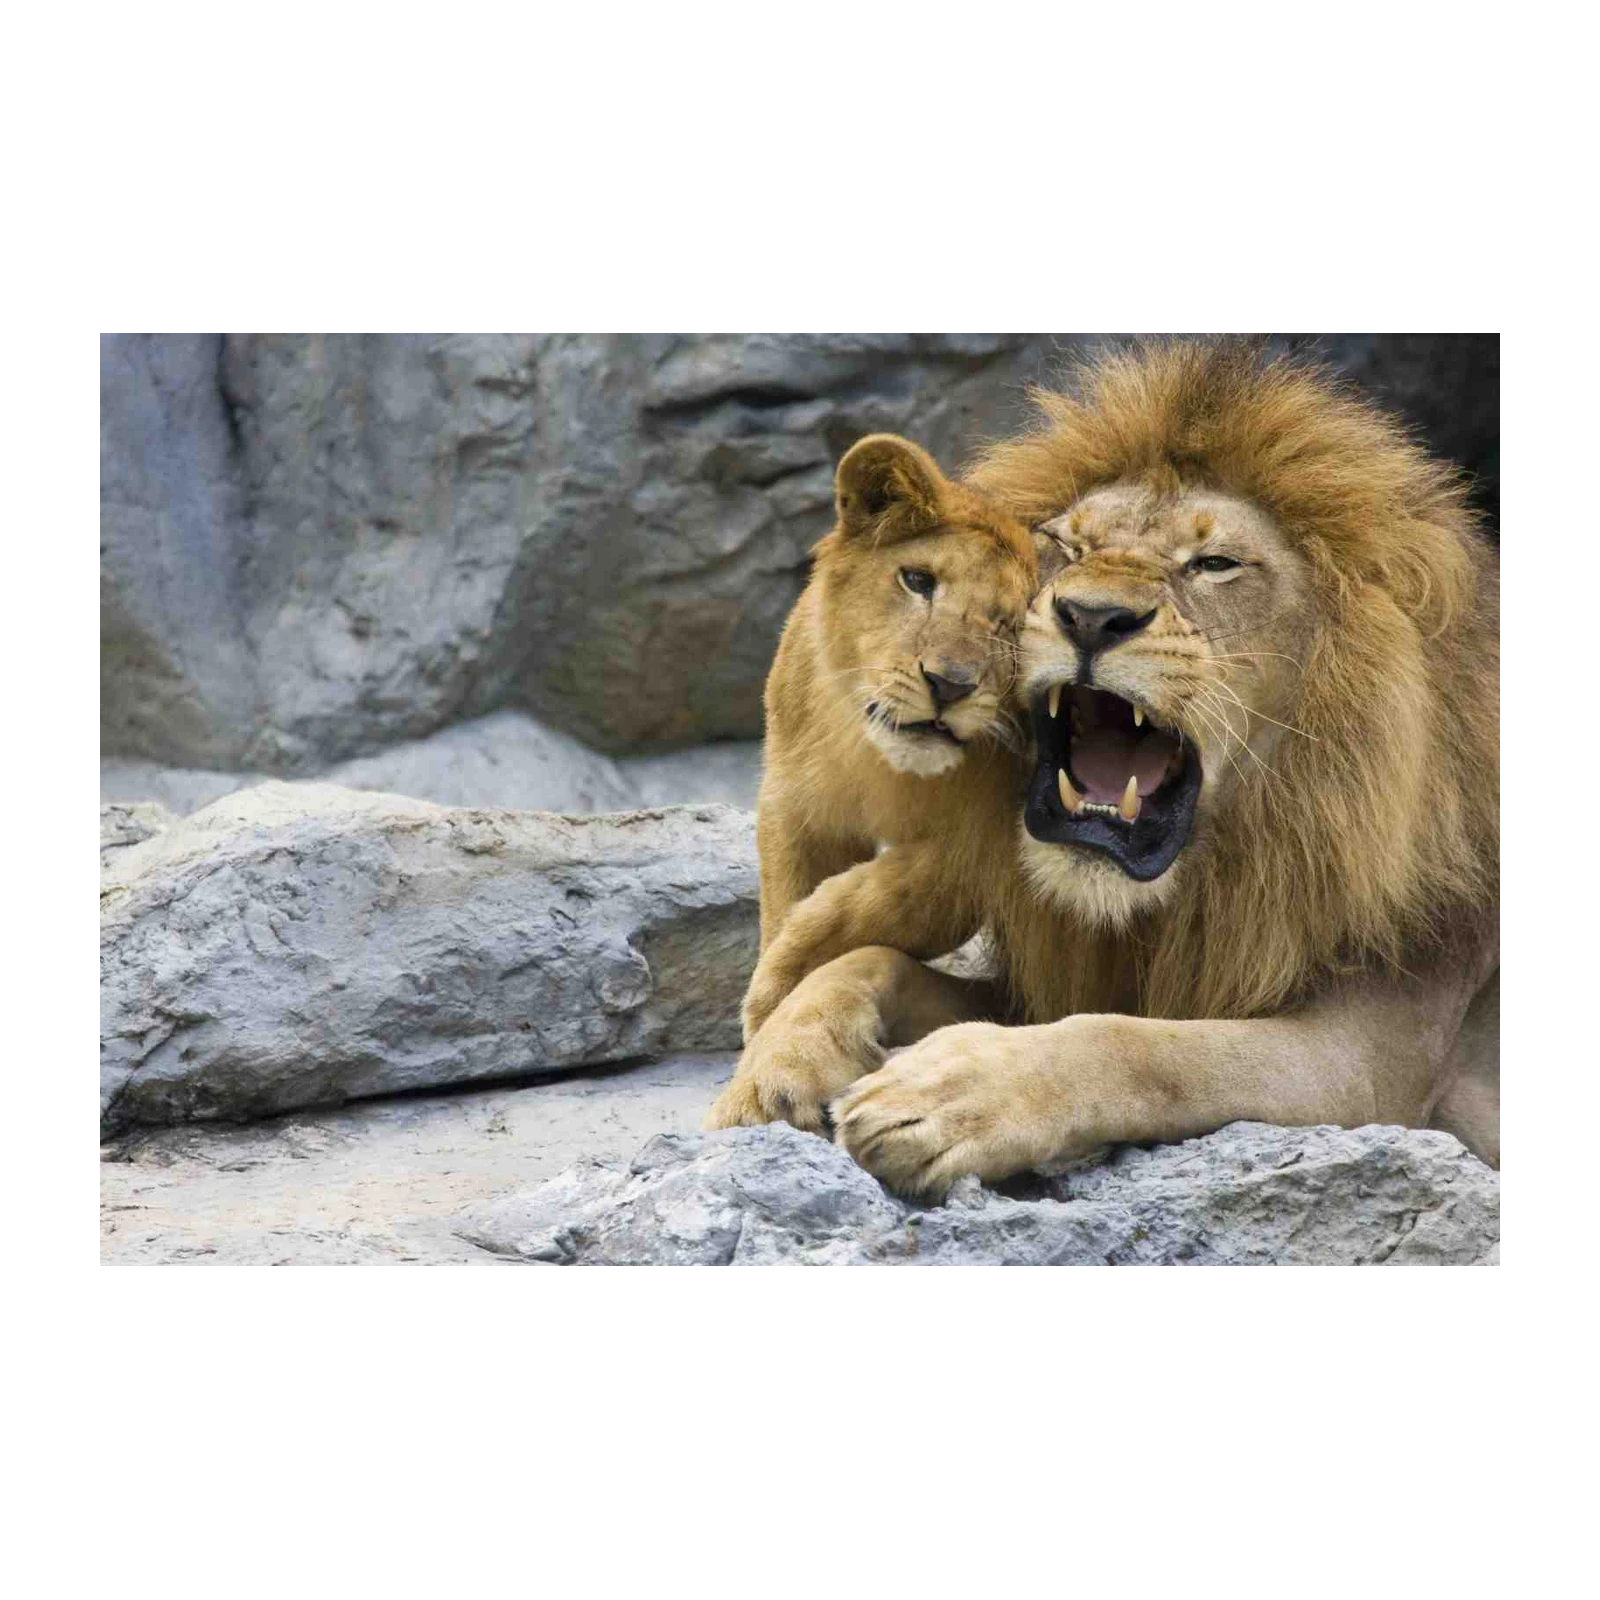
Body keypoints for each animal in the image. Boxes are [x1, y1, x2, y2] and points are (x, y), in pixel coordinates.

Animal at [703, 433, 1037, 1132]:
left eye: (1011, 622)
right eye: (918, 581)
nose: (950, 684)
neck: (883, 763)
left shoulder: (988, 843)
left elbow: (883, 901)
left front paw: (779, 985)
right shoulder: (794, 808)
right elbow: (787, 900)